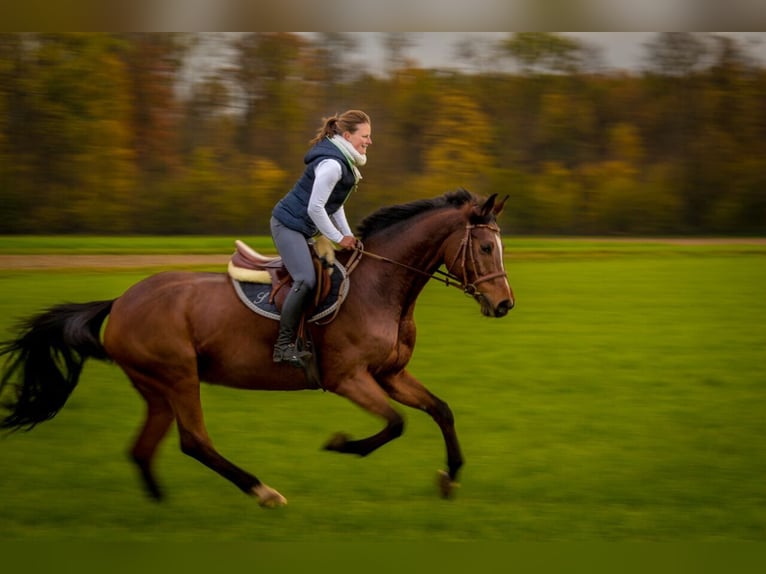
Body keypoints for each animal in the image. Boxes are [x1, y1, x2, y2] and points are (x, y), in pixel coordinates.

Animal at [1, 190, 516, 508]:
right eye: (485, 248)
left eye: (499, 247)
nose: (505, 304)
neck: (380, 286)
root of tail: (121, 302)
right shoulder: (348, 378)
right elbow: (395, 423)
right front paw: (340, 444)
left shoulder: (390, 374)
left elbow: (440, 410)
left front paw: (450, 477)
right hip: (178, 375)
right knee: (194, 441)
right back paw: (264, 492)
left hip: (155, 388)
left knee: (144, 449)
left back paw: (161, 507)